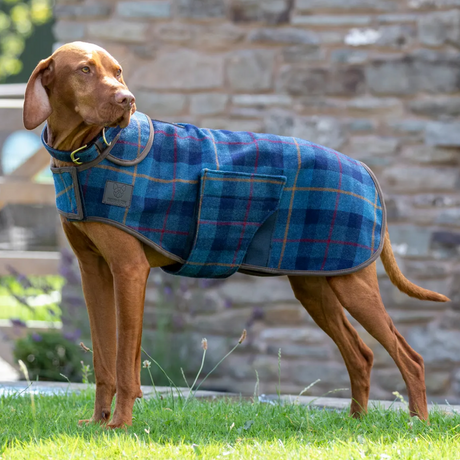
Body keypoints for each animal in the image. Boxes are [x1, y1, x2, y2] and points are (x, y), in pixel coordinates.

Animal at [22, 42, 450, 428]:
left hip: (352, 284)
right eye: (84, 70)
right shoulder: (94, 272)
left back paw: (419, 422)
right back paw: (356, 422)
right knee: (361, 354)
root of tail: (364, 168)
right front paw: (98, 423)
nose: (127, 99)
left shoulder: (129, 270)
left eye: (118, 71)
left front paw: (121, 425)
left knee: (410, 357)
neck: (89, 152)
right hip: (315, 285)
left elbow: (126, 360)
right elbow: (103, 359)